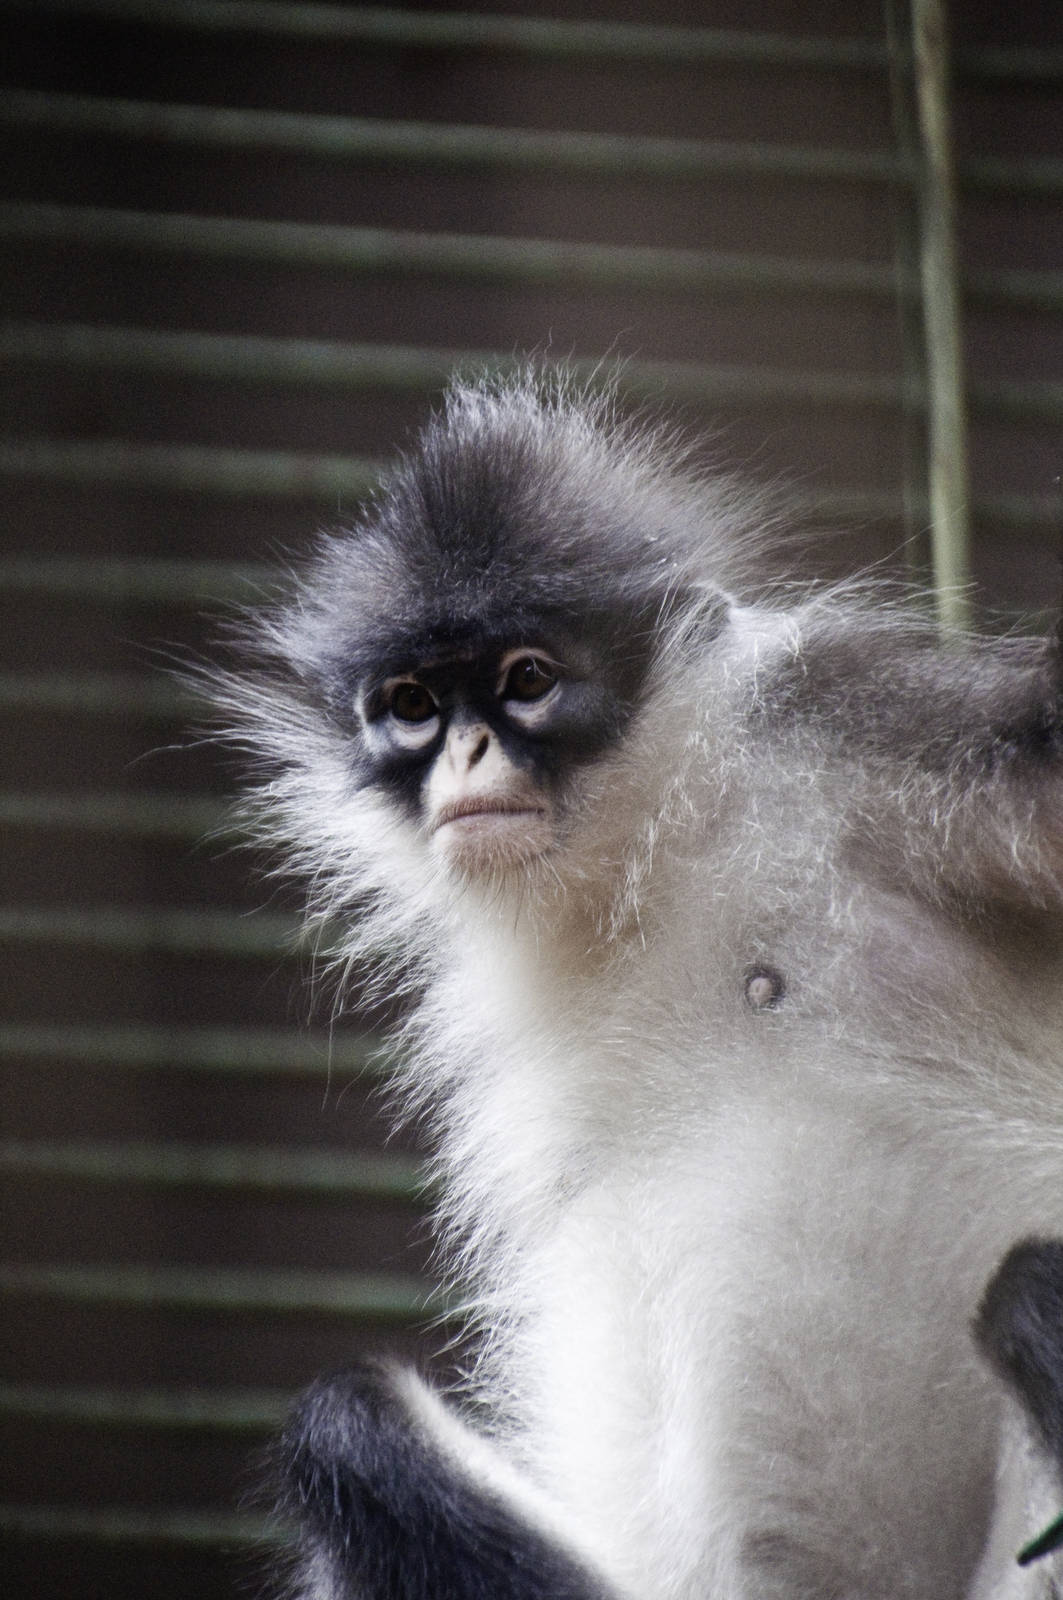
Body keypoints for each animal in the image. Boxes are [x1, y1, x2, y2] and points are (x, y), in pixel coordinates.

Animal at [213, 371, 1063, 1599]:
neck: (656, 862)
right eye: (413, 704)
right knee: (345, 1423)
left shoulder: (846, 723)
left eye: (527, 681)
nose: (467, 755)